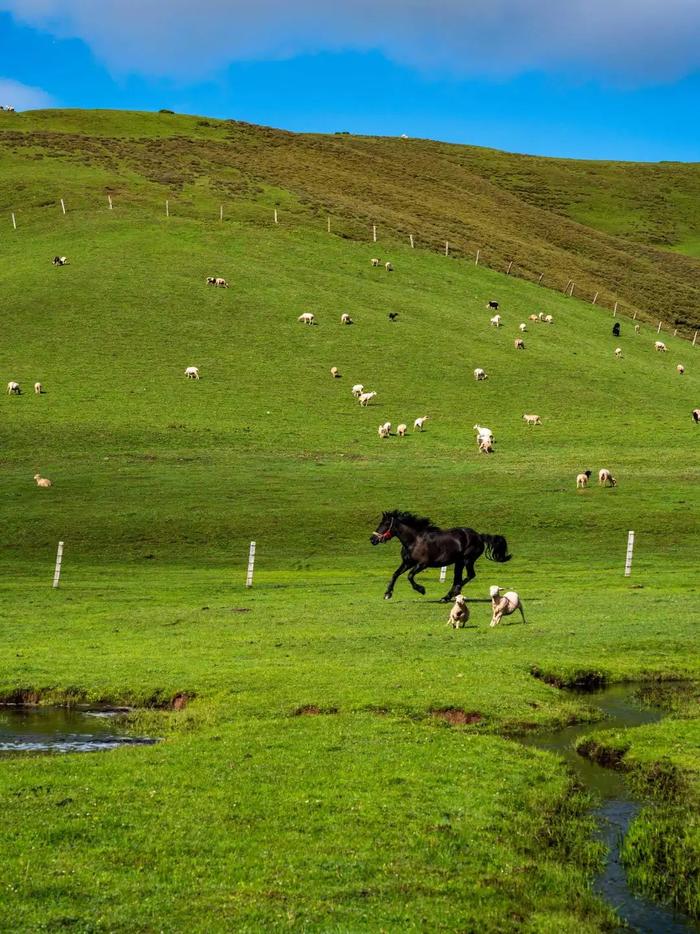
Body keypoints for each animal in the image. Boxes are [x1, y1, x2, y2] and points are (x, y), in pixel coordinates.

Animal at [370, 512, 512, 600]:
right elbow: (395, 574)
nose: (372, 539)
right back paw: (447, 596)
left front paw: (421, 589)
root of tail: (479, 536)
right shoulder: (407, 562)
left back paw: (452, 594)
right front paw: (387, 593)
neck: (414, 541)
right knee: (458, 578)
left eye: (385, 524)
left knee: (469, 575)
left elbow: (410, 576)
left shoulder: (422, 564)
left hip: (467, 560)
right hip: (459, 562)